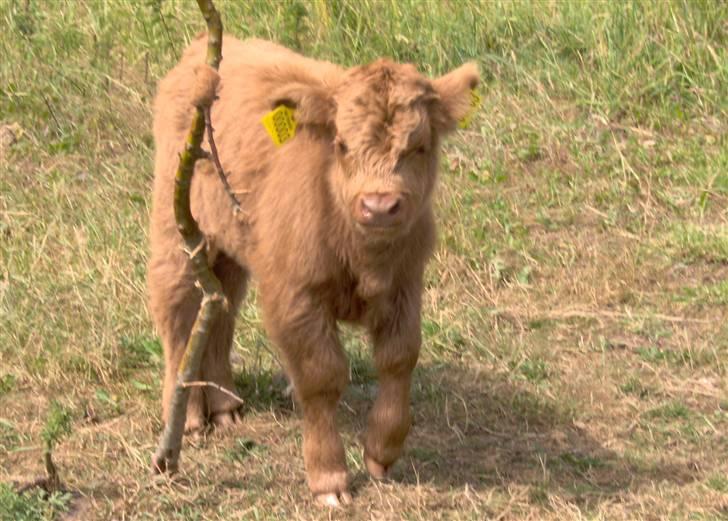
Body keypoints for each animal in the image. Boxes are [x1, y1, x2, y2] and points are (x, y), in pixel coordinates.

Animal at [148, 35, 479, 506]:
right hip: (176, 229)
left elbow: (399, 358)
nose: (380, 206)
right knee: (178, 312)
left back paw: (226, 405)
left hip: (231, 247)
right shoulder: (296, 296)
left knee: (223, 309)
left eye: (419, 146)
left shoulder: (405, 286)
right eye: (341, 144)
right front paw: (329, 477)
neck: (362, 254)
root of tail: (203, 53)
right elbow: (322, 376)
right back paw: (189, 418)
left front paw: (381, 452)